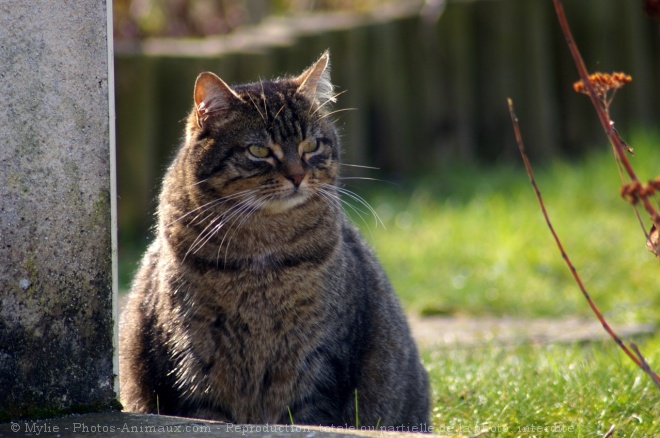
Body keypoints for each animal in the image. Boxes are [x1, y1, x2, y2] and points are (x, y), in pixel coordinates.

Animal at [119, 51, 430, 428]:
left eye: (310, 145)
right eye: (258, 150)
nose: (297, 176)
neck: (262, 250)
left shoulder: (318, 361)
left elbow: (307, 416)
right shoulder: (189, 358)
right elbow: (208, 413)